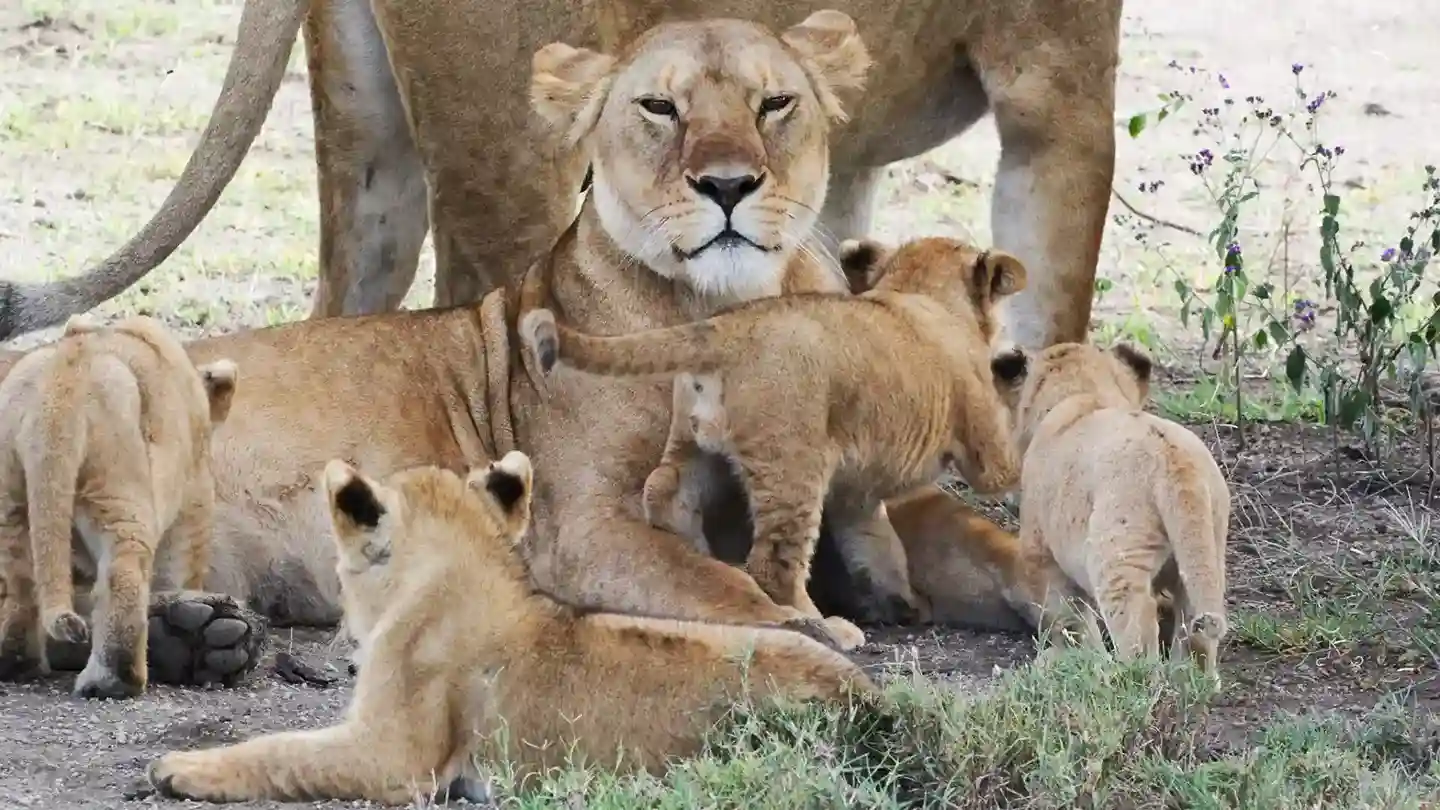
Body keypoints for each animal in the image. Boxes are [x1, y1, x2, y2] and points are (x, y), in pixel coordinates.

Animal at [0, 315, 239, 699]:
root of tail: (60, 381)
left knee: (20, 576)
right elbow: (180, 565)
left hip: (11, 489)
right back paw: (115, 679)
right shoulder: (195, 496)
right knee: (122, 569)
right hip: (116, 479)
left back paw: (19, 663)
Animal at [146, 452, 875, 804]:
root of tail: (871, 705)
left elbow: (280, 751)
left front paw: (181, 767)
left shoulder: (395, 757)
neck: (463, 567)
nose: (346, 644)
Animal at [518, 236, 1025, 637]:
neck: (917, 290)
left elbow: (878, 547)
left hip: (694, 440)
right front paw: (1016, 365)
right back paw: (829, 628)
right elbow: (1007, 463)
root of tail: (726, 327)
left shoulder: (856, 494)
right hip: (794, 465)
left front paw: (903, 602)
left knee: (663, 490)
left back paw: (700, 551)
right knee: (773, 565)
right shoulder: (984, 450)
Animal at [989, 342, 1230, 679]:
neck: (1083, 396)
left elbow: (1070, 616)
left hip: (1117, 552)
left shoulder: (1042, 552)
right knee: (1195, 628)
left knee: (1138, 626)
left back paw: (1124, 677)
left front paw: (1073, 662)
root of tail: (1175, 460)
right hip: (1205, 548)